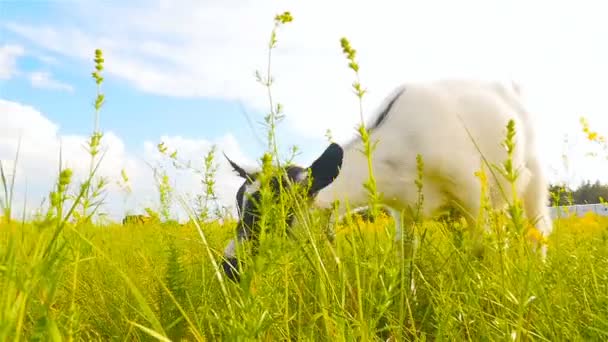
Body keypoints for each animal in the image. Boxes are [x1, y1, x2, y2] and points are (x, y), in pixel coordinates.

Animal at [223, 79, 556, 282]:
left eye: (277, 211)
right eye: (240, 206)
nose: (229, 267)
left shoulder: (474, 198)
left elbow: (479, 253)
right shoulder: (404, 214)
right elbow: (406, 261)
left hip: (533, 173)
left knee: (538, 228)